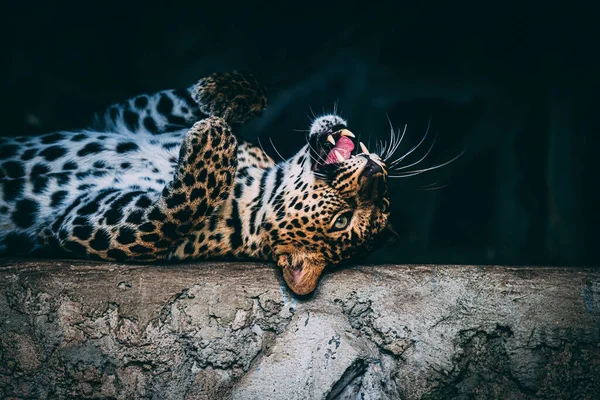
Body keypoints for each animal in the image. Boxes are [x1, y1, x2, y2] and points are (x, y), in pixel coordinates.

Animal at [0, 71, 392, 294]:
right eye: (386, 202)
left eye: (342, 220)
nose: (375, 173)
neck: (259, 183)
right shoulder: (116, 121)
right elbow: (159, 104)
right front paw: (224, 93)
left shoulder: (86, 223)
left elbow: (174, 213)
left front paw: (212, 140)